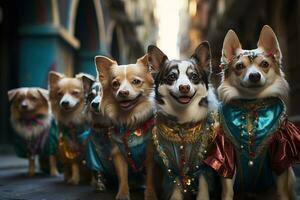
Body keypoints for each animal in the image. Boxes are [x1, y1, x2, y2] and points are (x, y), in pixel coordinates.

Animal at [95, 54, 156, 199]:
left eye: (136, 81)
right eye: (115, 84)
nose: (123, 92)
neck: (130, 121)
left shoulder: (150, 154)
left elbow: (150, 178)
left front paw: (150, 195)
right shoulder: (118, 154)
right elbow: (122, 177)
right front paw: (123, 194)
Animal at [211, 25, 300, 199]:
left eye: (264, 64)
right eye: (239, 66)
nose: (254, 76)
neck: (251, 104)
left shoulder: (281, 152)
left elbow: (283, 191)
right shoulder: (225, 153)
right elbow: (227, 190)